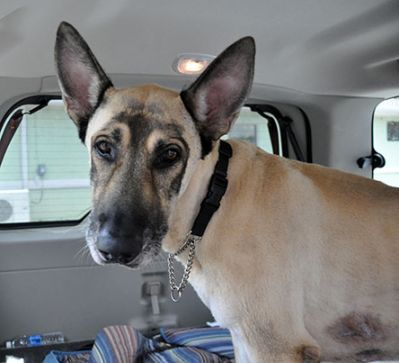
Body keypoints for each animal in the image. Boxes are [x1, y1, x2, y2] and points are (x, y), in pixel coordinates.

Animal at [55, 22, 399, 362]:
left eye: (170, 154)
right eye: (103, 147)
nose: (114, 250)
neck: (211, 203)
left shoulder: (272, 345)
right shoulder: (241, 337)